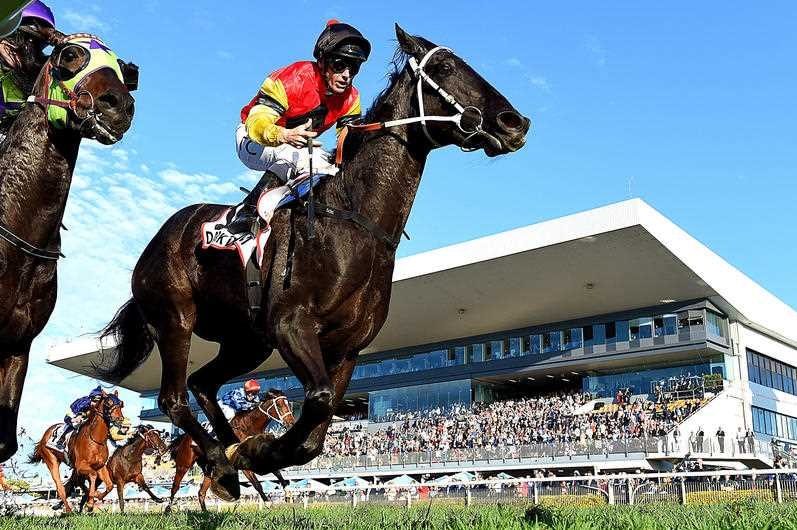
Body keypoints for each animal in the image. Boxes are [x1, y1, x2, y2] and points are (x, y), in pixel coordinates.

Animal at [166, 388, 294, 512]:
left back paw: (206, 514)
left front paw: (288, 492)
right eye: (279, 405)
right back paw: (167, 510)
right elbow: (257, 484)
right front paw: (267, 503)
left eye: (289, 404)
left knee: (201, 492)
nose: (291, 423)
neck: (248, 427)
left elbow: (277, 472)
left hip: (210, 469)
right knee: (175, 487)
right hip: (184, 464)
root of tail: (185, 437)